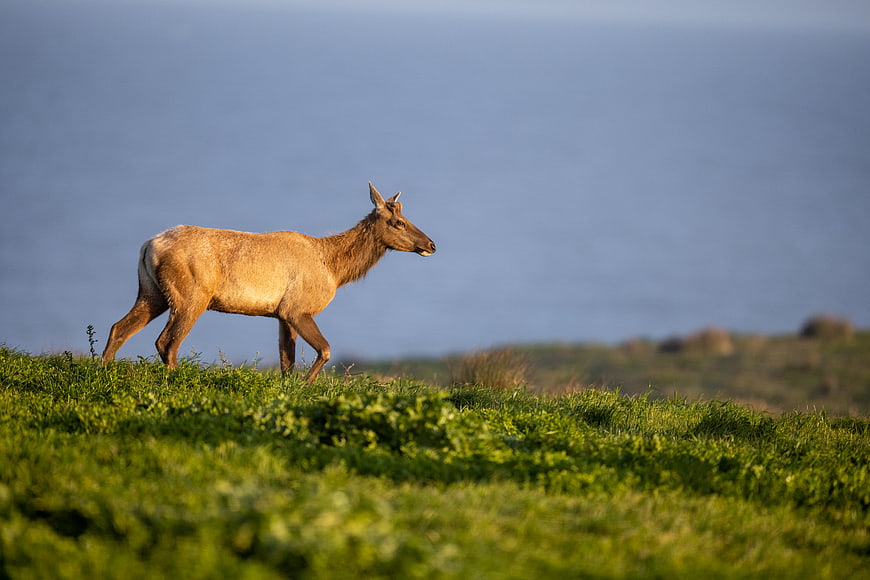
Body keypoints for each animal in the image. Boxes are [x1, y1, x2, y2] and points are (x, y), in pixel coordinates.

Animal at [101, 182, 436, 382]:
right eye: (398, 222)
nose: (431, 244)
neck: (333, 270)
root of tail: (148, 245)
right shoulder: (297, 307)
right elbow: (325, 350)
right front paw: (306, 385)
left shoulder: (282, 313)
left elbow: (287, 359)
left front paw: (291, 386)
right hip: (191, 295)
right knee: (167, 341)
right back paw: (177, 379)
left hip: (151, 291)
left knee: (119, 327)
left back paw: (102, 370)